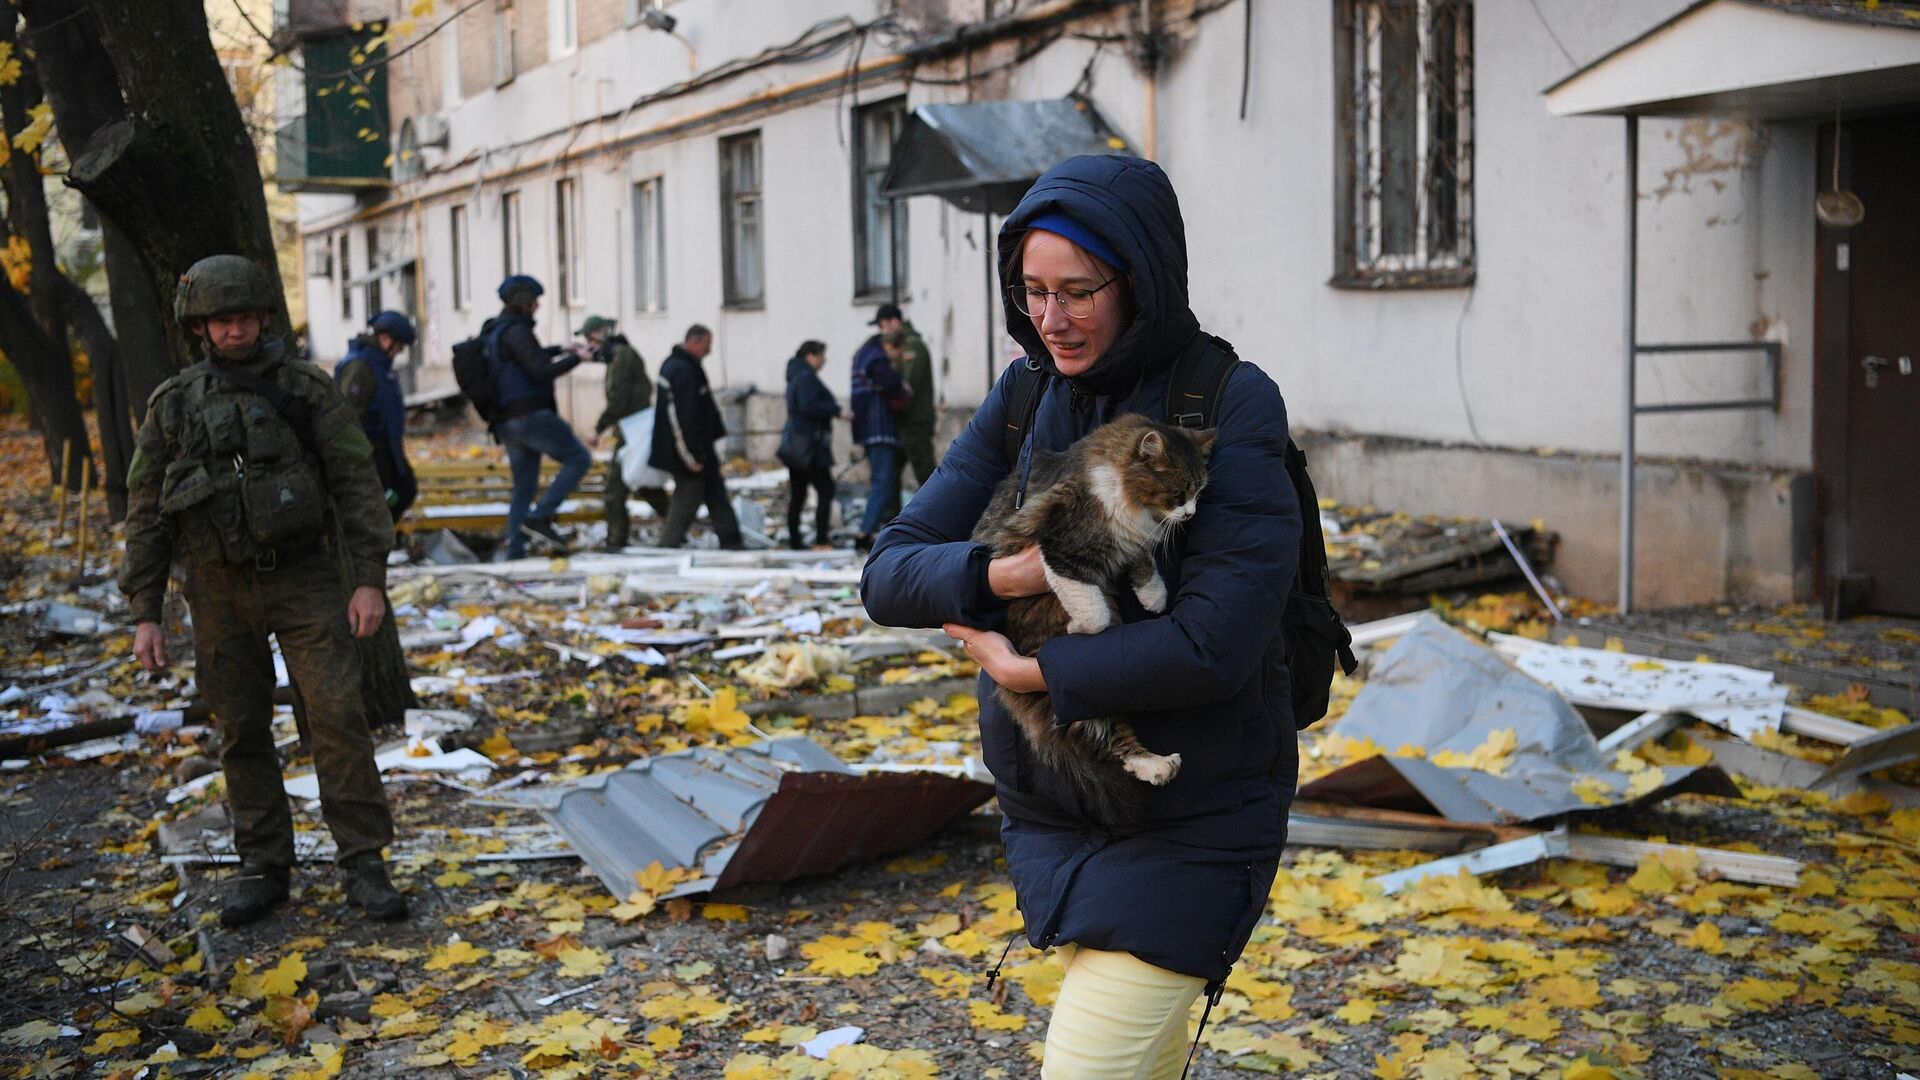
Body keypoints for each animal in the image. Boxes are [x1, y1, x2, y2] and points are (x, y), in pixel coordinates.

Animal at [975, 407, 1213, 818]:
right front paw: (1080, 627)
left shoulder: (1132, 540)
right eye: (1179, 493)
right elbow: (1093, 607)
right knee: (1104, 737)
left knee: (1115, 740)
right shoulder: (1060, 542)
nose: (1190, 514)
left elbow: (1142, 558)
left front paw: (1153, 596)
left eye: (1199, 492)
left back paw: (1157, 765)